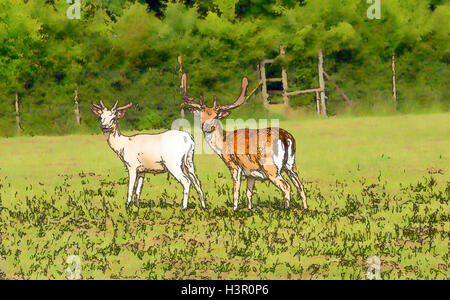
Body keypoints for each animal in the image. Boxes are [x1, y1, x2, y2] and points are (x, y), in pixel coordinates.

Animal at [181, 73, 308, 210]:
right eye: (201, 116)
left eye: (215, 116)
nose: (206, 127)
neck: (223, 144)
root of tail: (285, 137)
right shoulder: (250, 173)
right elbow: (249, 193)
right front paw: (249, 209)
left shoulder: (234, 165)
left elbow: (236, 191)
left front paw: (235, 209)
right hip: (291, 164)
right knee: (300, 186)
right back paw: (305, 209)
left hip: (271, 167)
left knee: (286, 187)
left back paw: (286, 209)